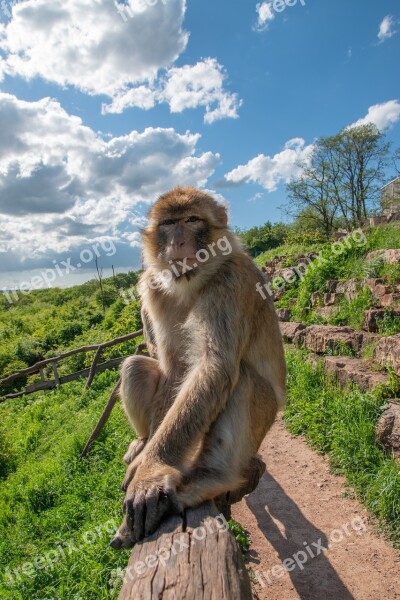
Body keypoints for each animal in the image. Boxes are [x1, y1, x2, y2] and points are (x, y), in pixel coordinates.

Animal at [111, 186, 286, 548]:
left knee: (243, 380)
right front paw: (146, 459)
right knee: (135, 365)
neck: (191, 283)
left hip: (262, 422)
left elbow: (214, 367)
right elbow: (176, 368)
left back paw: (211, 478)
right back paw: (142, 442)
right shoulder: (153, 288)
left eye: (192, 220)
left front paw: (151, 469)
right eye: (169, 224)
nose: (178, 242)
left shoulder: (231, 281)